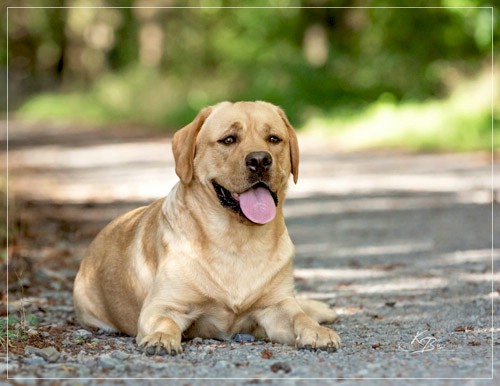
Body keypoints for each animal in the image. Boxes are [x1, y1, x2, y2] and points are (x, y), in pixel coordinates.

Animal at [73, 101, 340, 354]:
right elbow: (165, 323)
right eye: (229, 139)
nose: (260, 160)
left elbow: (299, 316)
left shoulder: (276, 305)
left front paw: (317, 331)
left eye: (274, 138)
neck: (238, 241)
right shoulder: (163, 306)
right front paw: (161, 338)